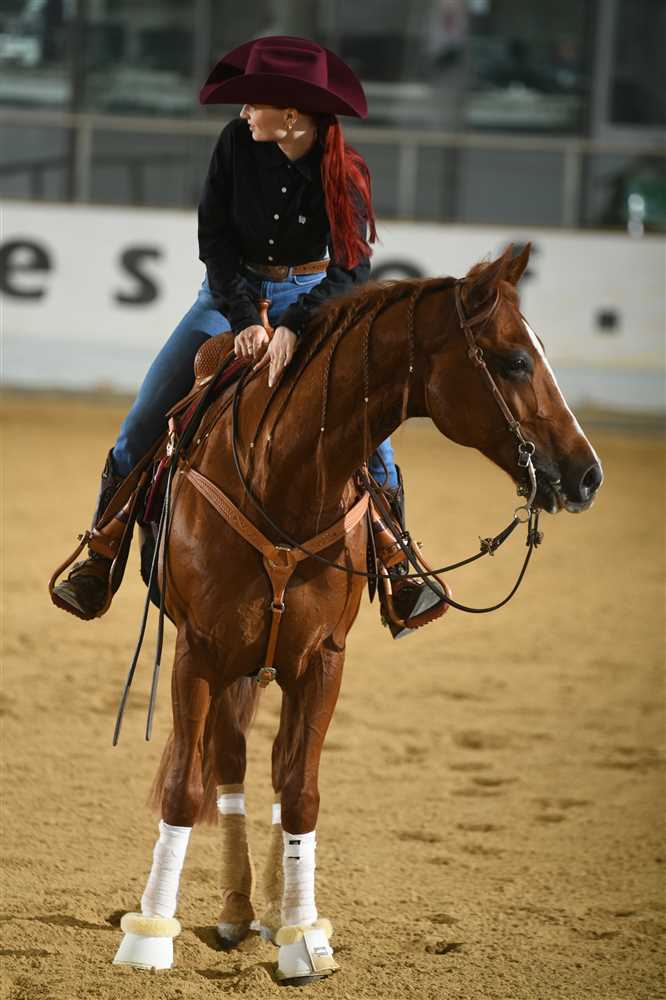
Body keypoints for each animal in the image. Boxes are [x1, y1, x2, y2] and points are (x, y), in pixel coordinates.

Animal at [111, 244, 602, 983]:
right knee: (227, 761)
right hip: (230, 662)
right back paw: (233, 909)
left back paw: (266, 909)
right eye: (516, 360)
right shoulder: (200, 650)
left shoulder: (322, 659)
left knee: (267, 764)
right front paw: (148, 936)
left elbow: (301, 791)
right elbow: (185, 788)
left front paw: (302, 937)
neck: (282, 478)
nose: (587, 475)